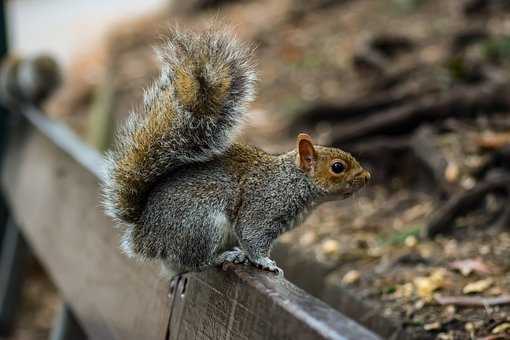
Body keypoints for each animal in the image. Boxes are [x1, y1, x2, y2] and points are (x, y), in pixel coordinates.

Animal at [100, 26, 370, 276]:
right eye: (338, 167)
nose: (367, 177)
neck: (292, 181)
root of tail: (144, 235)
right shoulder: (263, 206)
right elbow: (252, 235)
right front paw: (265, 262)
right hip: (202, 226)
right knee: (197, 262)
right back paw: (225, 257)